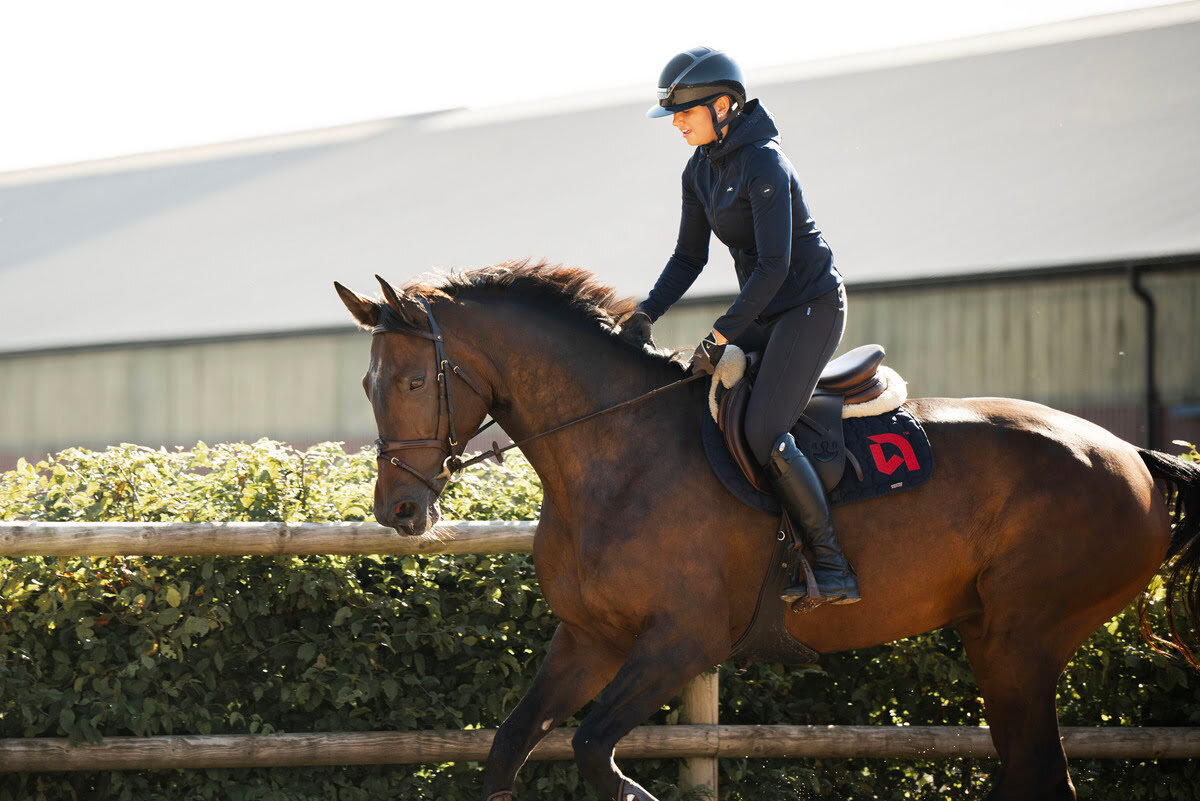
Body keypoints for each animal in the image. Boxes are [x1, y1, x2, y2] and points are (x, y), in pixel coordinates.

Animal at [333, 260, 1200, 796]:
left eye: (412, 381)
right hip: (998, 640)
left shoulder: (680, 641)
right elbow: (511, 745)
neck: (613, 449)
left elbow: (592, 751)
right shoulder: (590, 640)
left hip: (1024, 639)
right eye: (370, 384)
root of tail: (1132, 454)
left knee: (1039, 771)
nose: (398, 511)